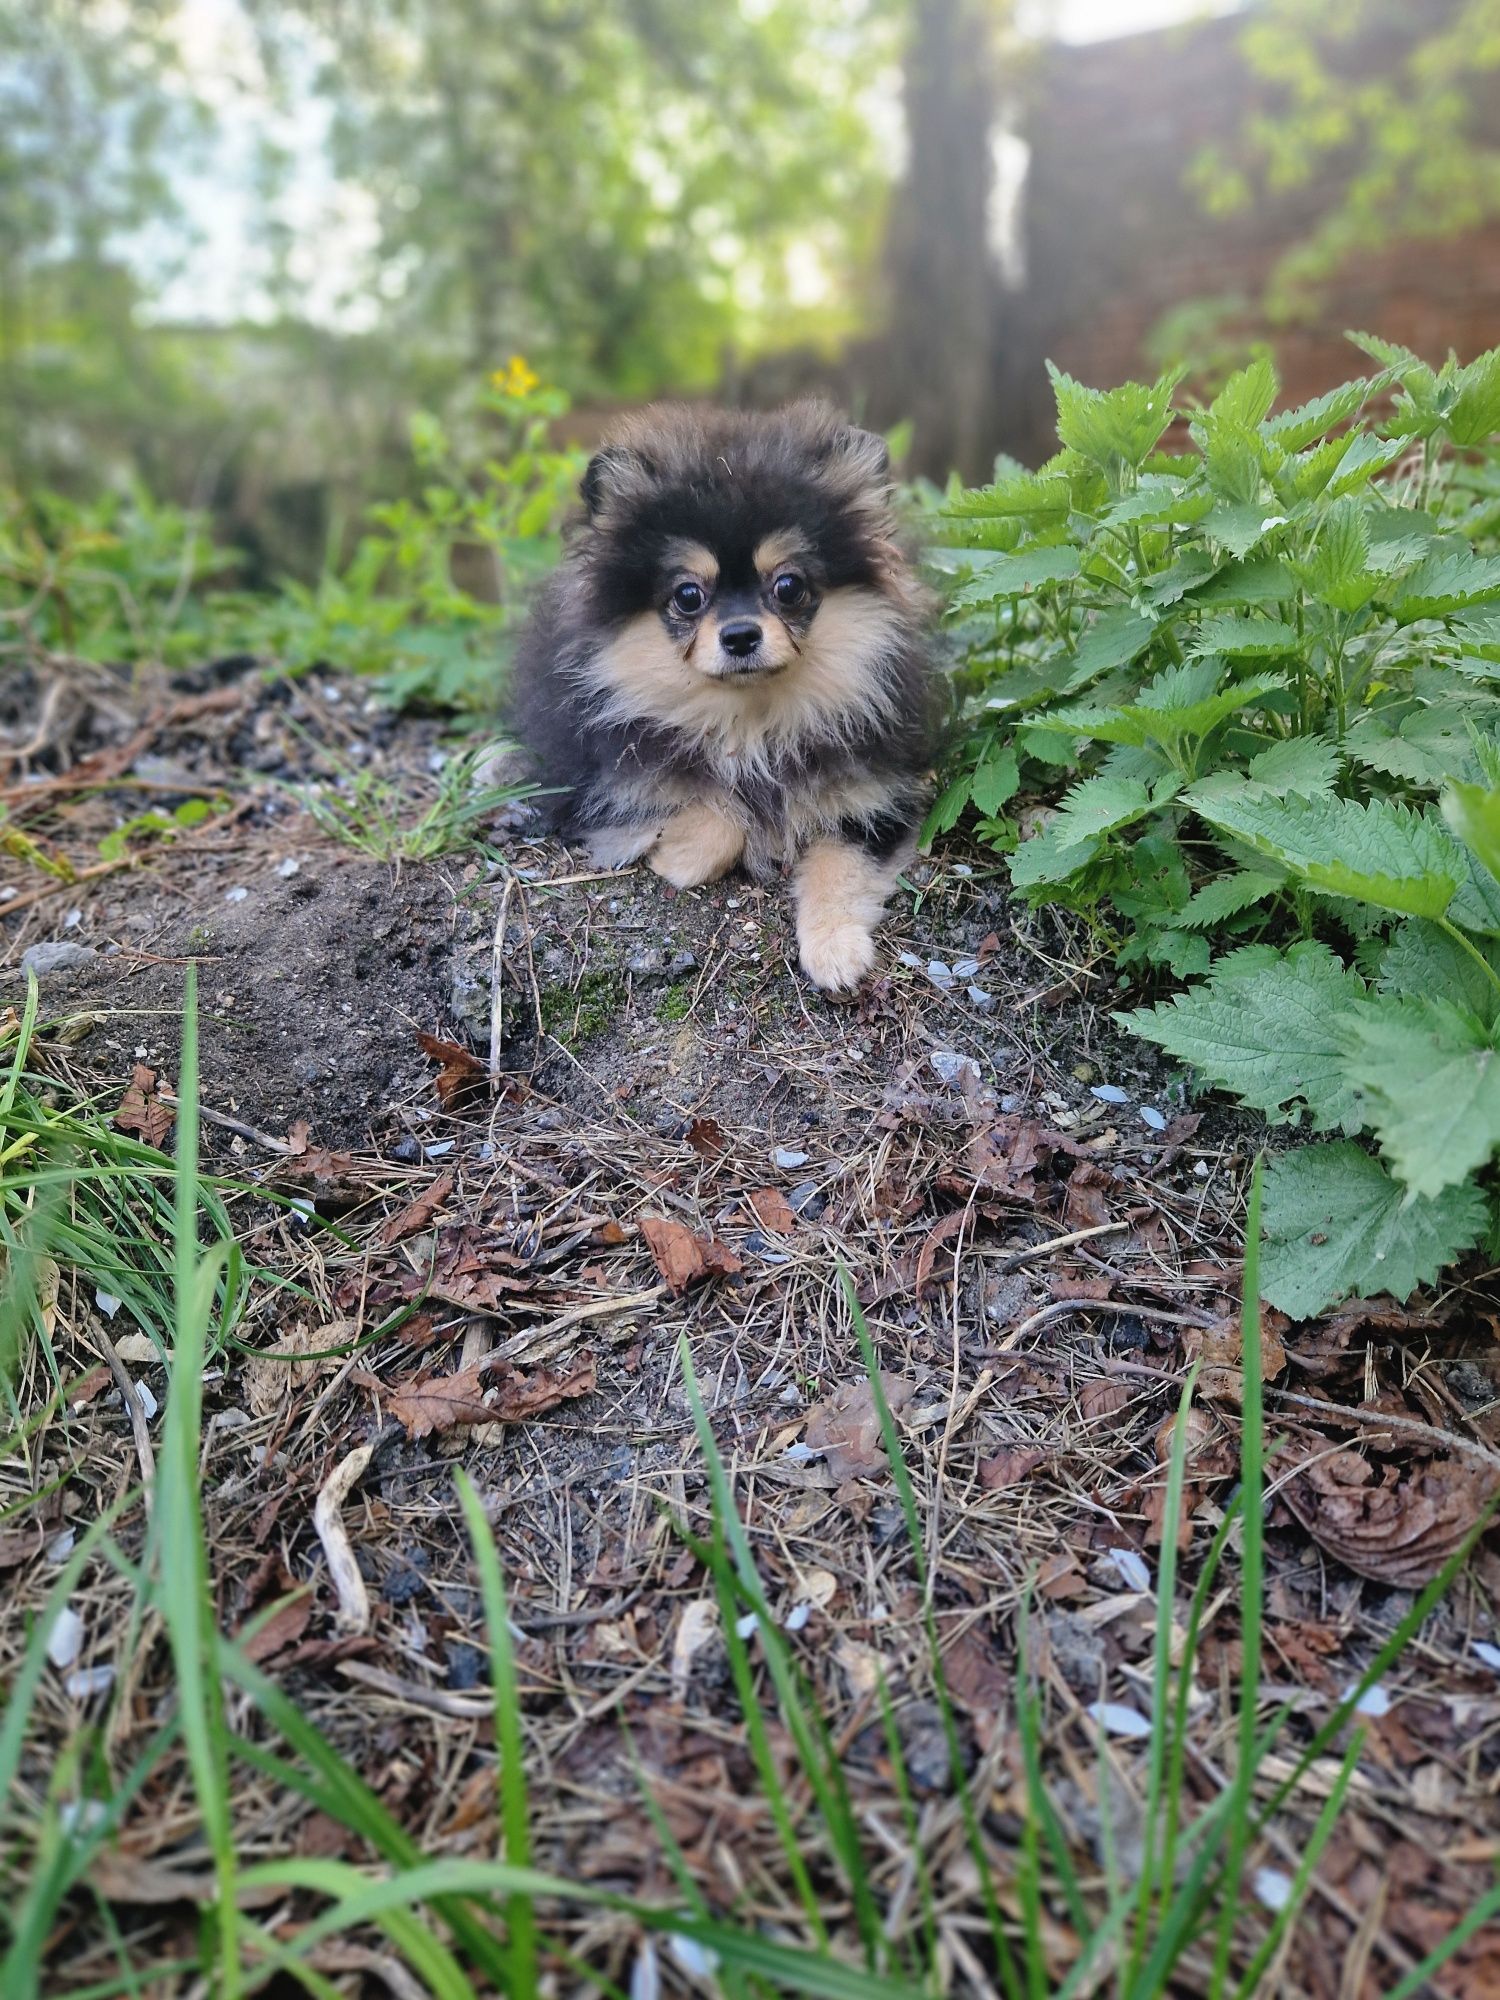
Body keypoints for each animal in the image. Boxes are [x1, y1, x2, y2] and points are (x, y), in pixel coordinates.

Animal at [512, 404, 944, 992]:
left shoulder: (873, 799)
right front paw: (679, 853)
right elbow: (716, 813)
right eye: (688, 595)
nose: (740, 635)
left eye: (789, 586)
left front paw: (836, 949)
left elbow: (839, 865)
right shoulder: (594, 787)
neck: (750, 721)